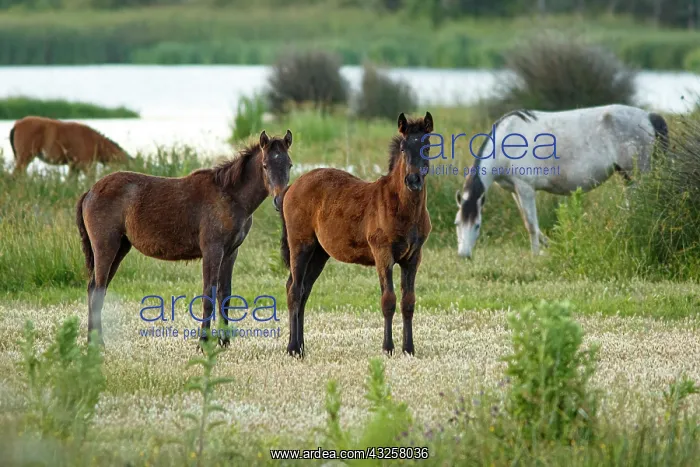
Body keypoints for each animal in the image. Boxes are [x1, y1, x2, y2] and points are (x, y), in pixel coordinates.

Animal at [75, 130, 293, 346]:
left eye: (289, 164)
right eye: (265, 165)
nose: (280, 199)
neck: (229, 196)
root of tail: (90, 191)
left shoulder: (231, 252)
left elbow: (225, 295)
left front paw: (224, 342)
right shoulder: (212, 250)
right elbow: (208, 294)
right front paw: (203, 342)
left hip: (120, 248)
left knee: (94, 288)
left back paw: (91, 341)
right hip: (106, 248)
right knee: (97, 291)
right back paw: (98, 343)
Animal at [278, 112, 433, 358]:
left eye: (427, 147)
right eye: (403, 148)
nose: (413, 180)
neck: (401, 207)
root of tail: (291, 187)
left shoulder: (413, 258)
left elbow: (408, 302)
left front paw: (409, 349)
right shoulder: (383, 254)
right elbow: (388, 300)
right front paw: (387, 349)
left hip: (319, 254)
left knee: (302, 290)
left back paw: (300, 347)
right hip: (300, 245)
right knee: (294, 290)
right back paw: (293, 349)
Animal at [454, 104, 669, 258]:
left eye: (477, 225)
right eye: (457, 223)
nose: (464, 255)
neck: (506, 143)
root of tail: (648, 117)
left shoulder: (525, 188)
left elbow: (531, 224)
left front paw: (535, 255)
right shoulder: (515, 190)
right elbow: (528, 221)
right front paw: (549, 246)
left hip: (638, 176)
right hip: (628, 178)